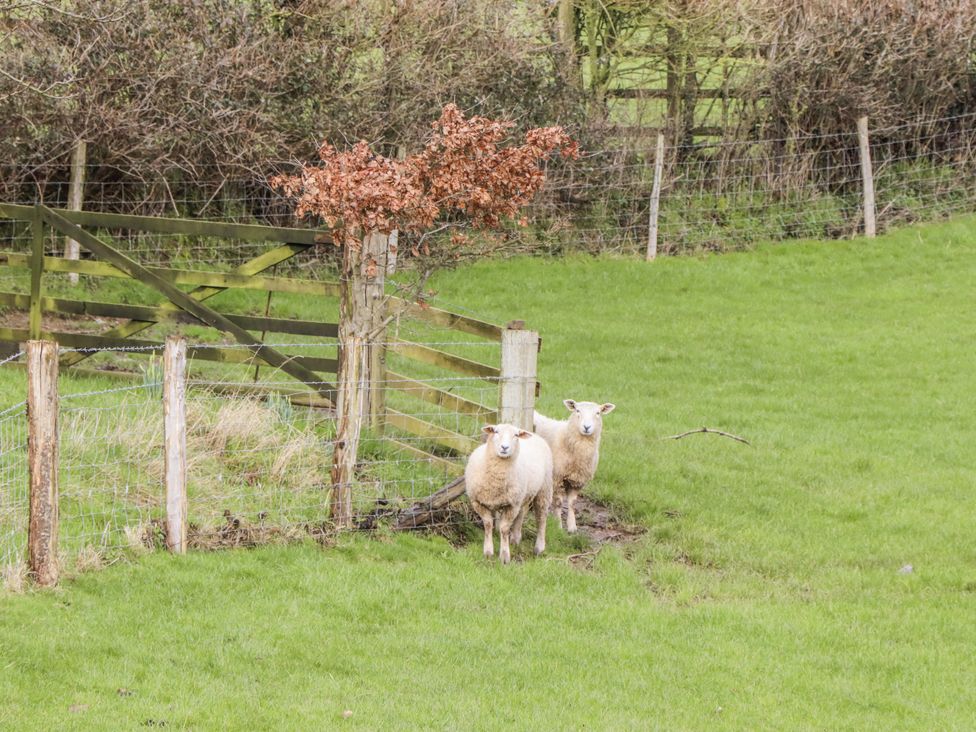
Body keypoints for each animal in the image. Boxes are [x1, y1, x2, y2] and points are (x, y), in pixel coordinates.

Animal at [464, 423, 554, 564]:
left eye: (516, 435)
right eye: (496, 431)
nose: (504, 447)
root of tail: (535, 435)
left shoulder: (512, 505)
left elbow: (504, 529)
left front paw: (505, 556)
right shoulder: (478, 502)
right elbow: (488, 524)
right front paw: (488, 552)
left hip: (544, 489)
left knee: (541, 518)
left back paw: (539, 547)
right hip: (524, 495)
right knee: (522, 513)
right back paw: (515, 539)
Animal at [533, 399, 616, 533]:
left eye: (598, 413)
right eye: (577, 410)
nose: (587, 427)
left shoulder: (578, 480)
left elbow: (572, 503)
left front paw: (572, 527)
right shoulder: (557, 477)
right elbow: (558, 502)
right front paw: (558, 525)